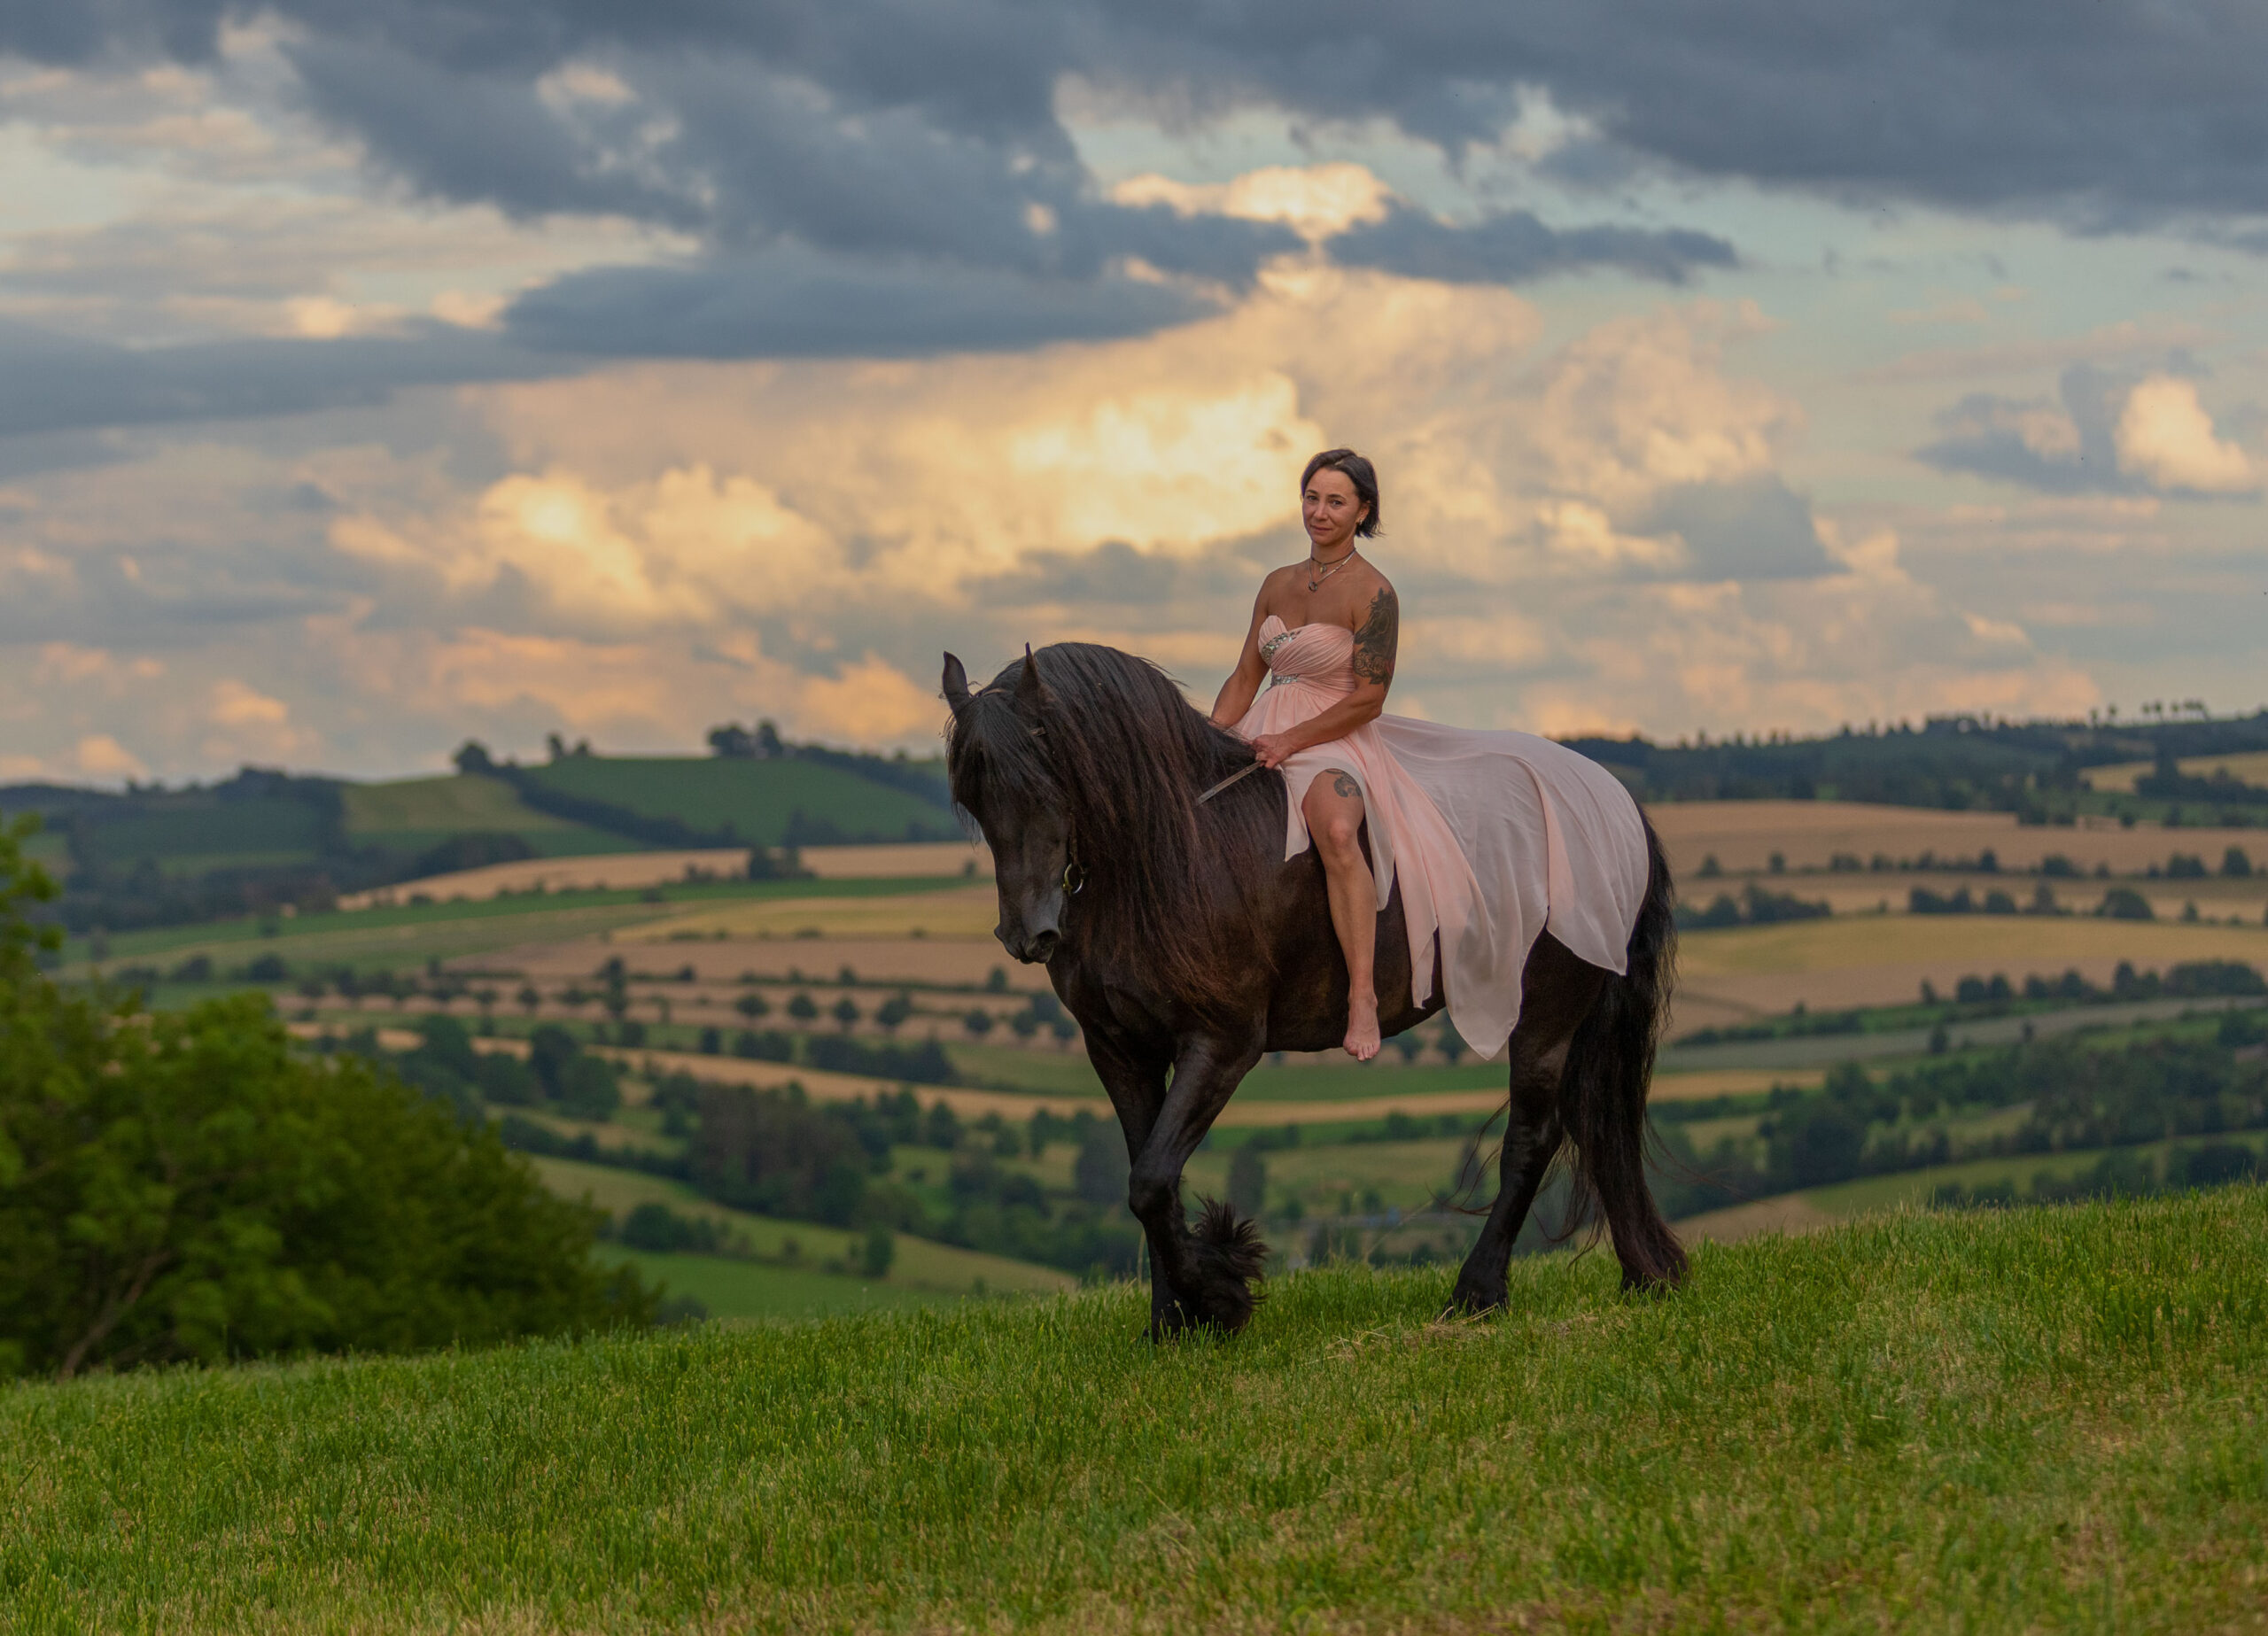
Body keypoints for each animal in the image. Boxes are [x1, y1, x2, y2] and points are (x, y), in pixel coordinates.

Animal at [938, 644, 1687, 1334]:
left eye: (1042, 780)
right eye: (972, 797)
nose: (1027, 934)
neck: (1175, 849)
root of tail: (1615, 803)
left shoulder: (1223, 1042)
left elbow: (1150, 1182)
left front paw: (1221, 1292)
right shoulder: (1120, 1048)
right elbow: (1150, 1177)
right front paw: (1172, 1322)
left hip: (1546, 1010)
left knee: (1534, 1135)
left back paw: (1477, 1293)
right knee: (1592, 1120)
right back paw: (1644, 1275)